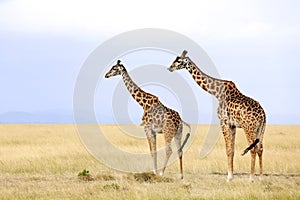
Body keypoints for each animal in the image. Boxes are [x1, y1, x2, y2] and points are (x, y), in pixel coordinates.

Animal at [168, 50, 266, 181]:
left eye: (179, 61)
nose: (170, 68)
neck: (217, 92)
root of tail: (263, 115)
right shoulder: (232, 125)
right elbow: (232, 150)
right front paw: (231, 176)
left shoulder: (223, 121)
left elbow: (228, 150)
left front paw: (228, 177)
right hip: (260, 129)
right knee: (260, 148)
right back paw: (260, 178)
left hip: (249, 127)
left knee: (254, 148)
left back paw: (251, 178)